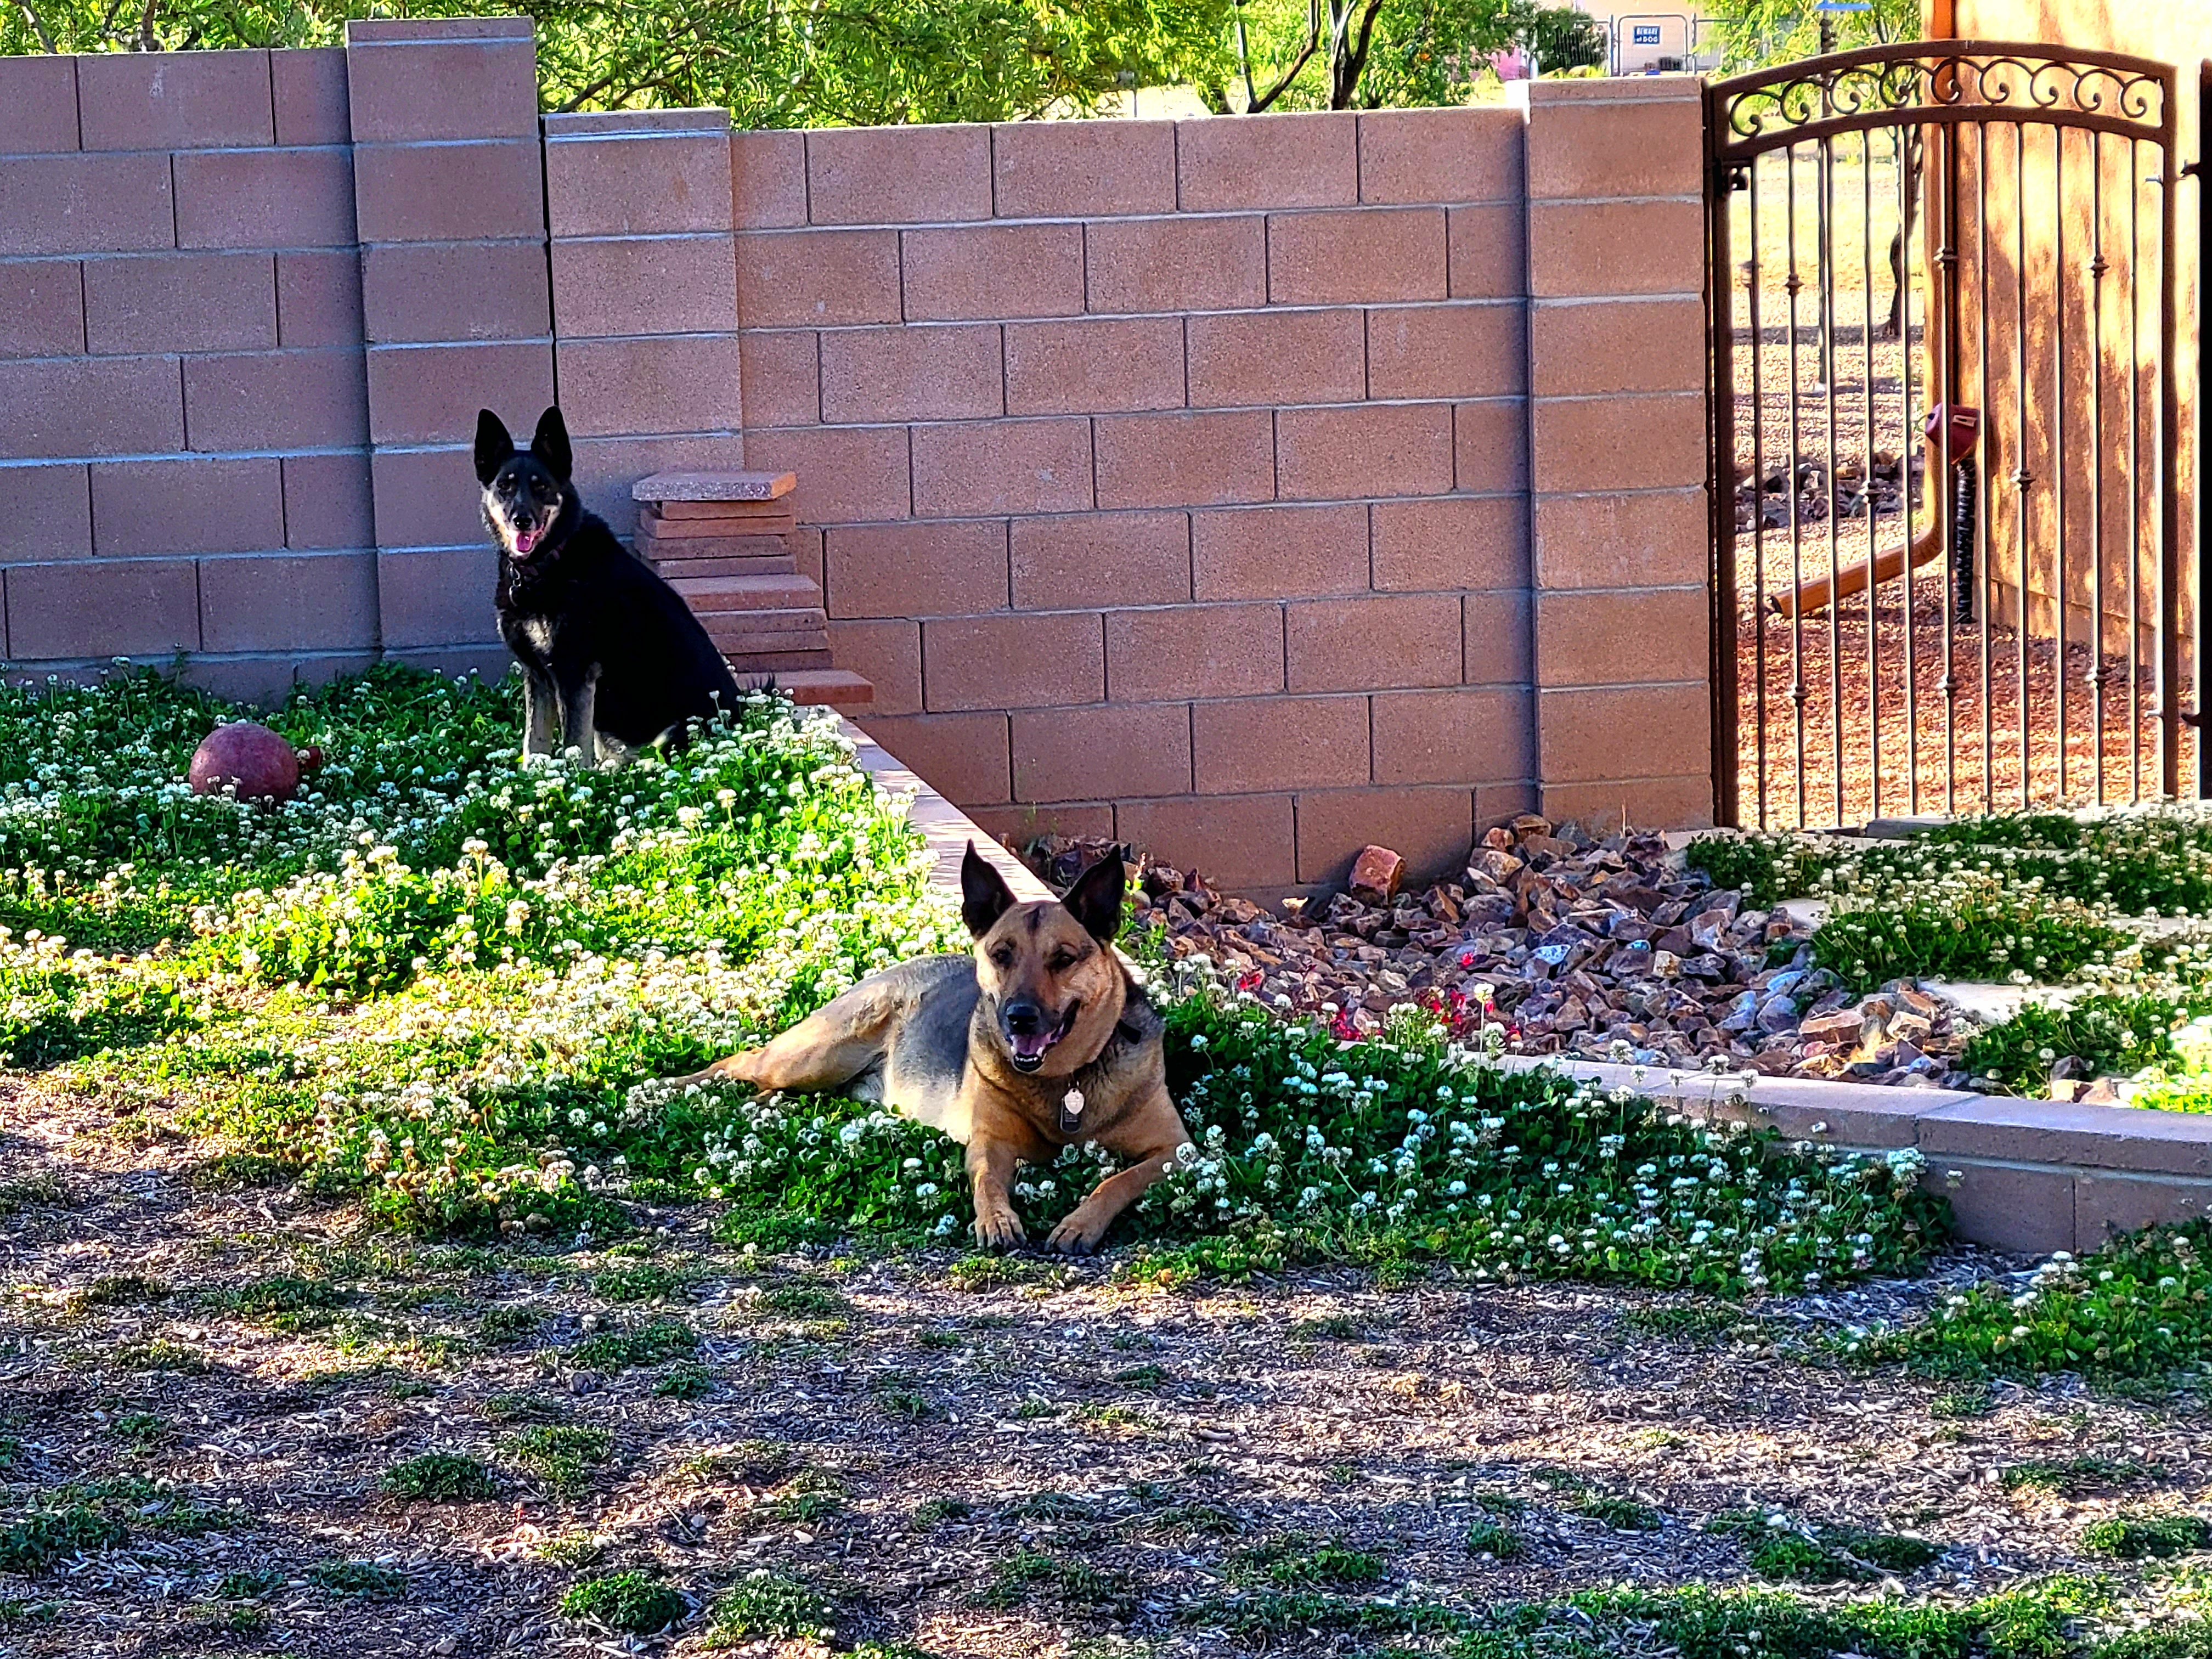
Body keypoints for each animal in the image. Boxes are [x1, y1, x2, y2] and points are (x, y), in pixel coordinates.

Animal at [471, 407, 738, 765]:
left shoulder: (574, 672)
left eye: (542, 487)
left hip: (670, 732)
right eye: (504, 486)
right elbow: (533, 744)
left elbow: (572, 746)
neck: (549, 562)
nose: (521, 520)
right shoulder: (537, 675)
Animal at [681, 849, 1194, 1256]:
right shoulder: (991, 1143)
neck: (1067, 1080)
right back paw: (675, 1088)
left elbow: (1117, 1179)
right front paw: (997, 1220)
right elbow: (986, 1181)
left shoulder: (1178, 1150)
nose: (1019, 1017)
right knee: (742, 1061)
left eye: (1064, 959)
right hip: (816, 1056)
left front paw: (1079, 1223)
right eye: (1002, 955)